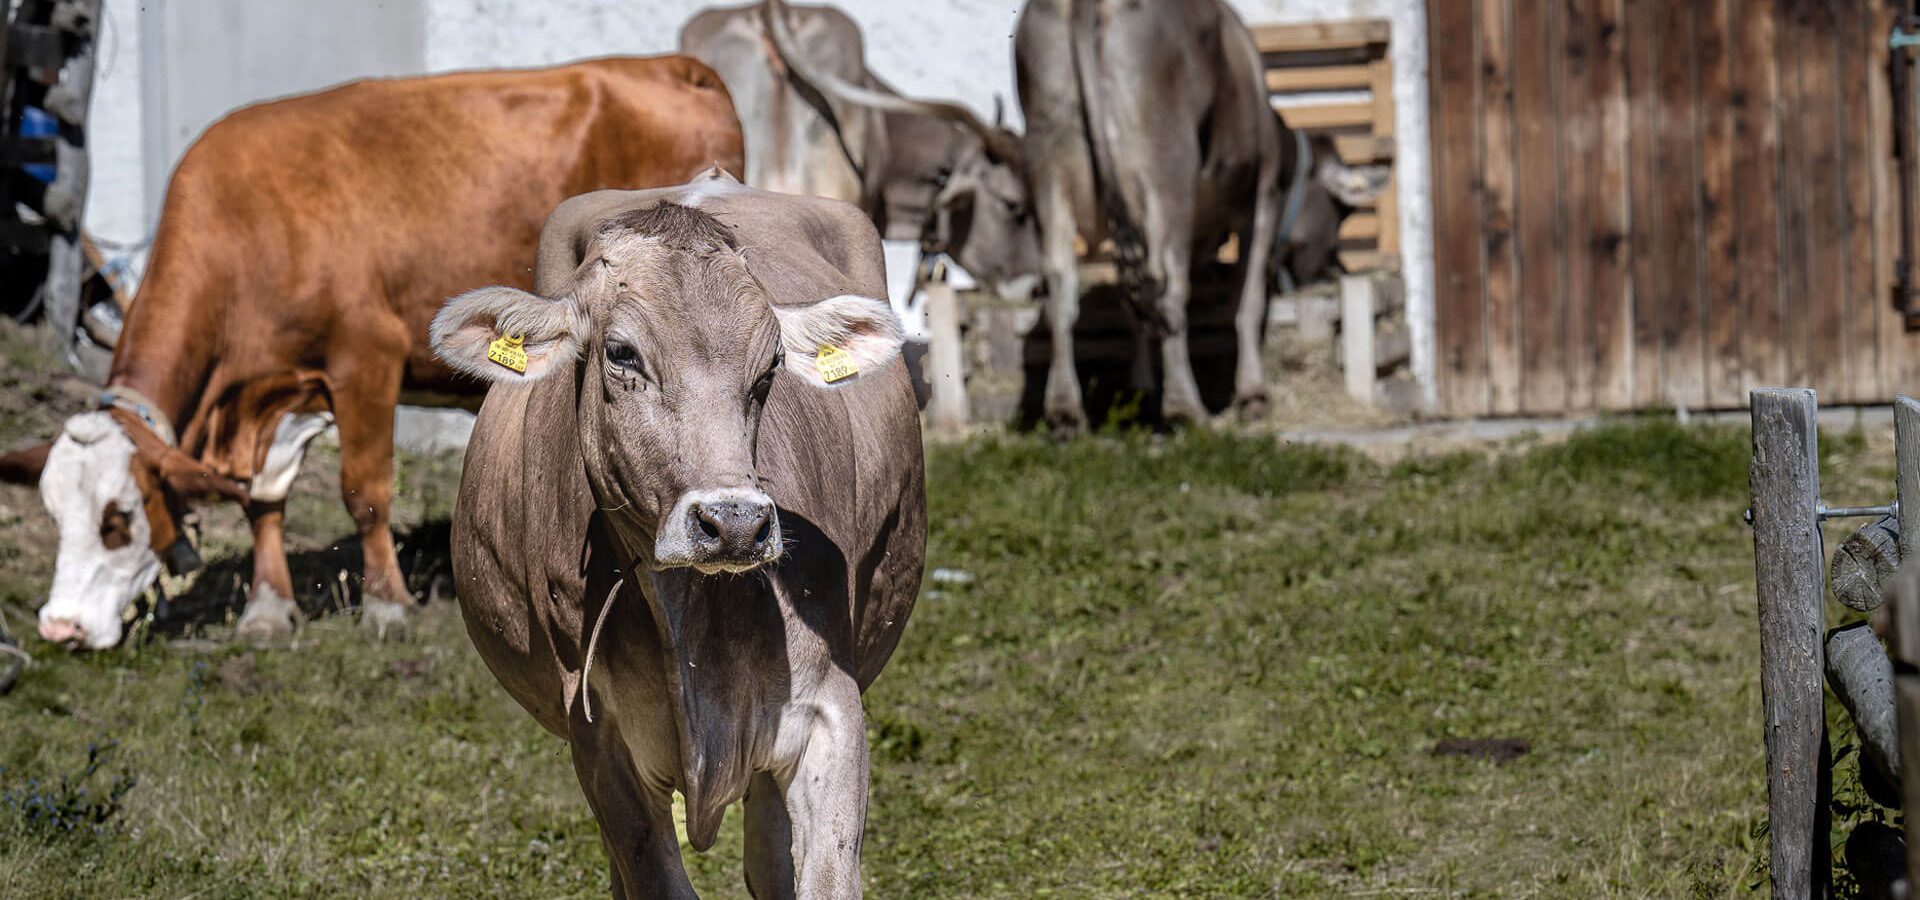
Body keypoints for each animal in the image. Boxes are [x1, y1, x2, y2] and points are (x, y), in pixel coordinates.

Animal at [0, 54, 741, 644]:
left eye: (118, 519)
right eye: (54, 513)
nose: (59, 627)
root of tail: (673, 63)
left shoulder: (366, 362)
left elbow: (365, 491)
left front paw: (387, 603)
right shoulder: (275, 386)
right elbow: (263, 497)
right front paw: (268, 608)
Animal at [432, 171, 925, 894]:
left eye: (771, 364)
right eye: (621, 353)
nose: (735, 524)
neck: (690, 611)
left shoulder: (830, 712)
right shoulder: (600, 739)